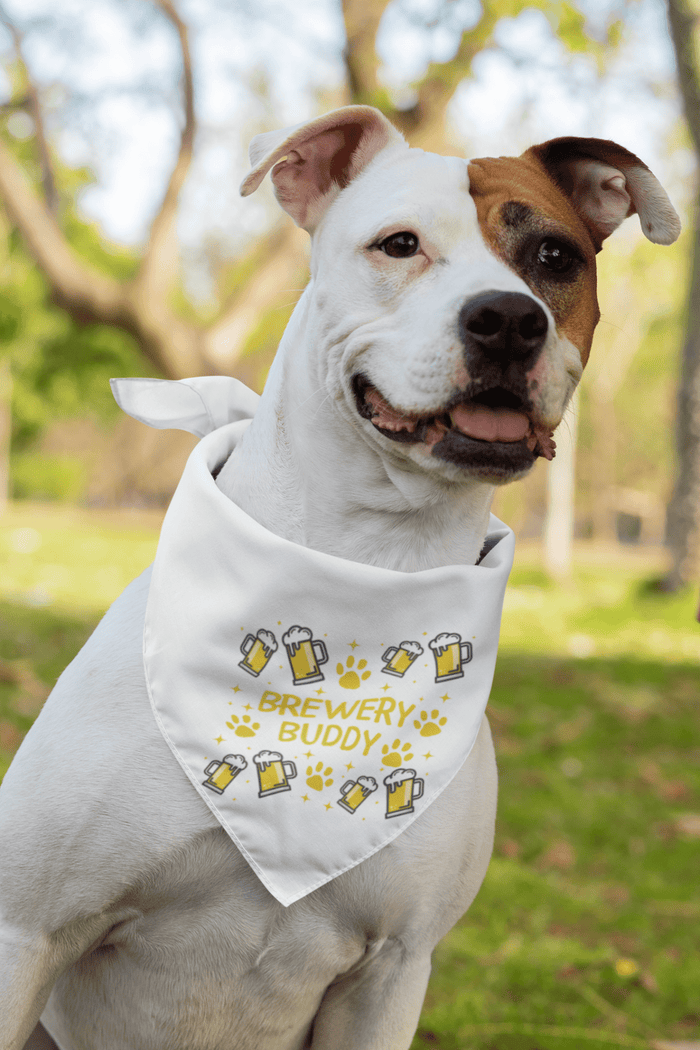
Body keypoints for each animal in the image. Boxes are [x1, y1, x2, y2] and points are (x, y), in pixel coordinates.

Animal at [0, 100, 680, 1050]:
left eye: (554, 258)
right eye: (398, 245)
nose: (509, 319)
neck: (366, 563)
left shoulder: (393, 968)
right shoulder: (28, 931)